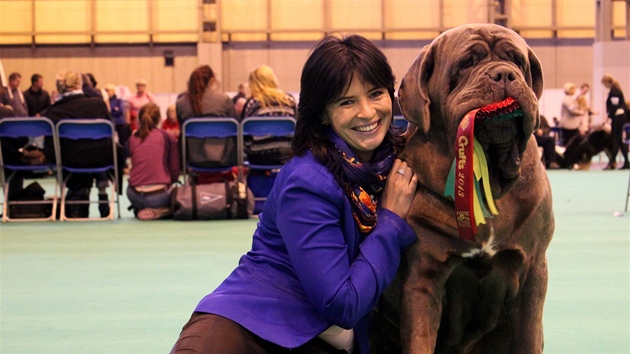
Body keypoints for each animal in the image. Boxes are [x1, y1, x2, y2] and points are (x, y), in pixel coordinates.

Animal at [372, 23, 556, 352]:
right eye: (466, 64)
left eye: (517, 61)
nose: (503, 74)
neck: (488, 182)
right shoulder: (423, 278)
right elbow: (420, 337)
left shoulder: (534, 269)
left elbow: (529, 336)